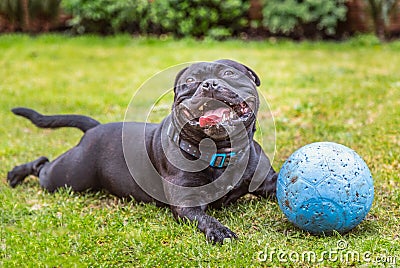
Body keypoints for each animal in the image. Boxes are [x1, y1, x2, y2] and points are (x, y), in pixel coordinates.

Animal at [7, 59, 276, 244]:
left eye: (229, 73)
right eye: (190, 82)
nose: (209, 84)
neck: (221, 151)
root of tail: (95, 128)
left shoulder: (270, 182)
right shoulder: (187, 203)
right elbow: (205, 218)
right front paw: (220, 231)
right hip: (67, 177)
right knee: (42, 166)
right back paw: (15, 174)